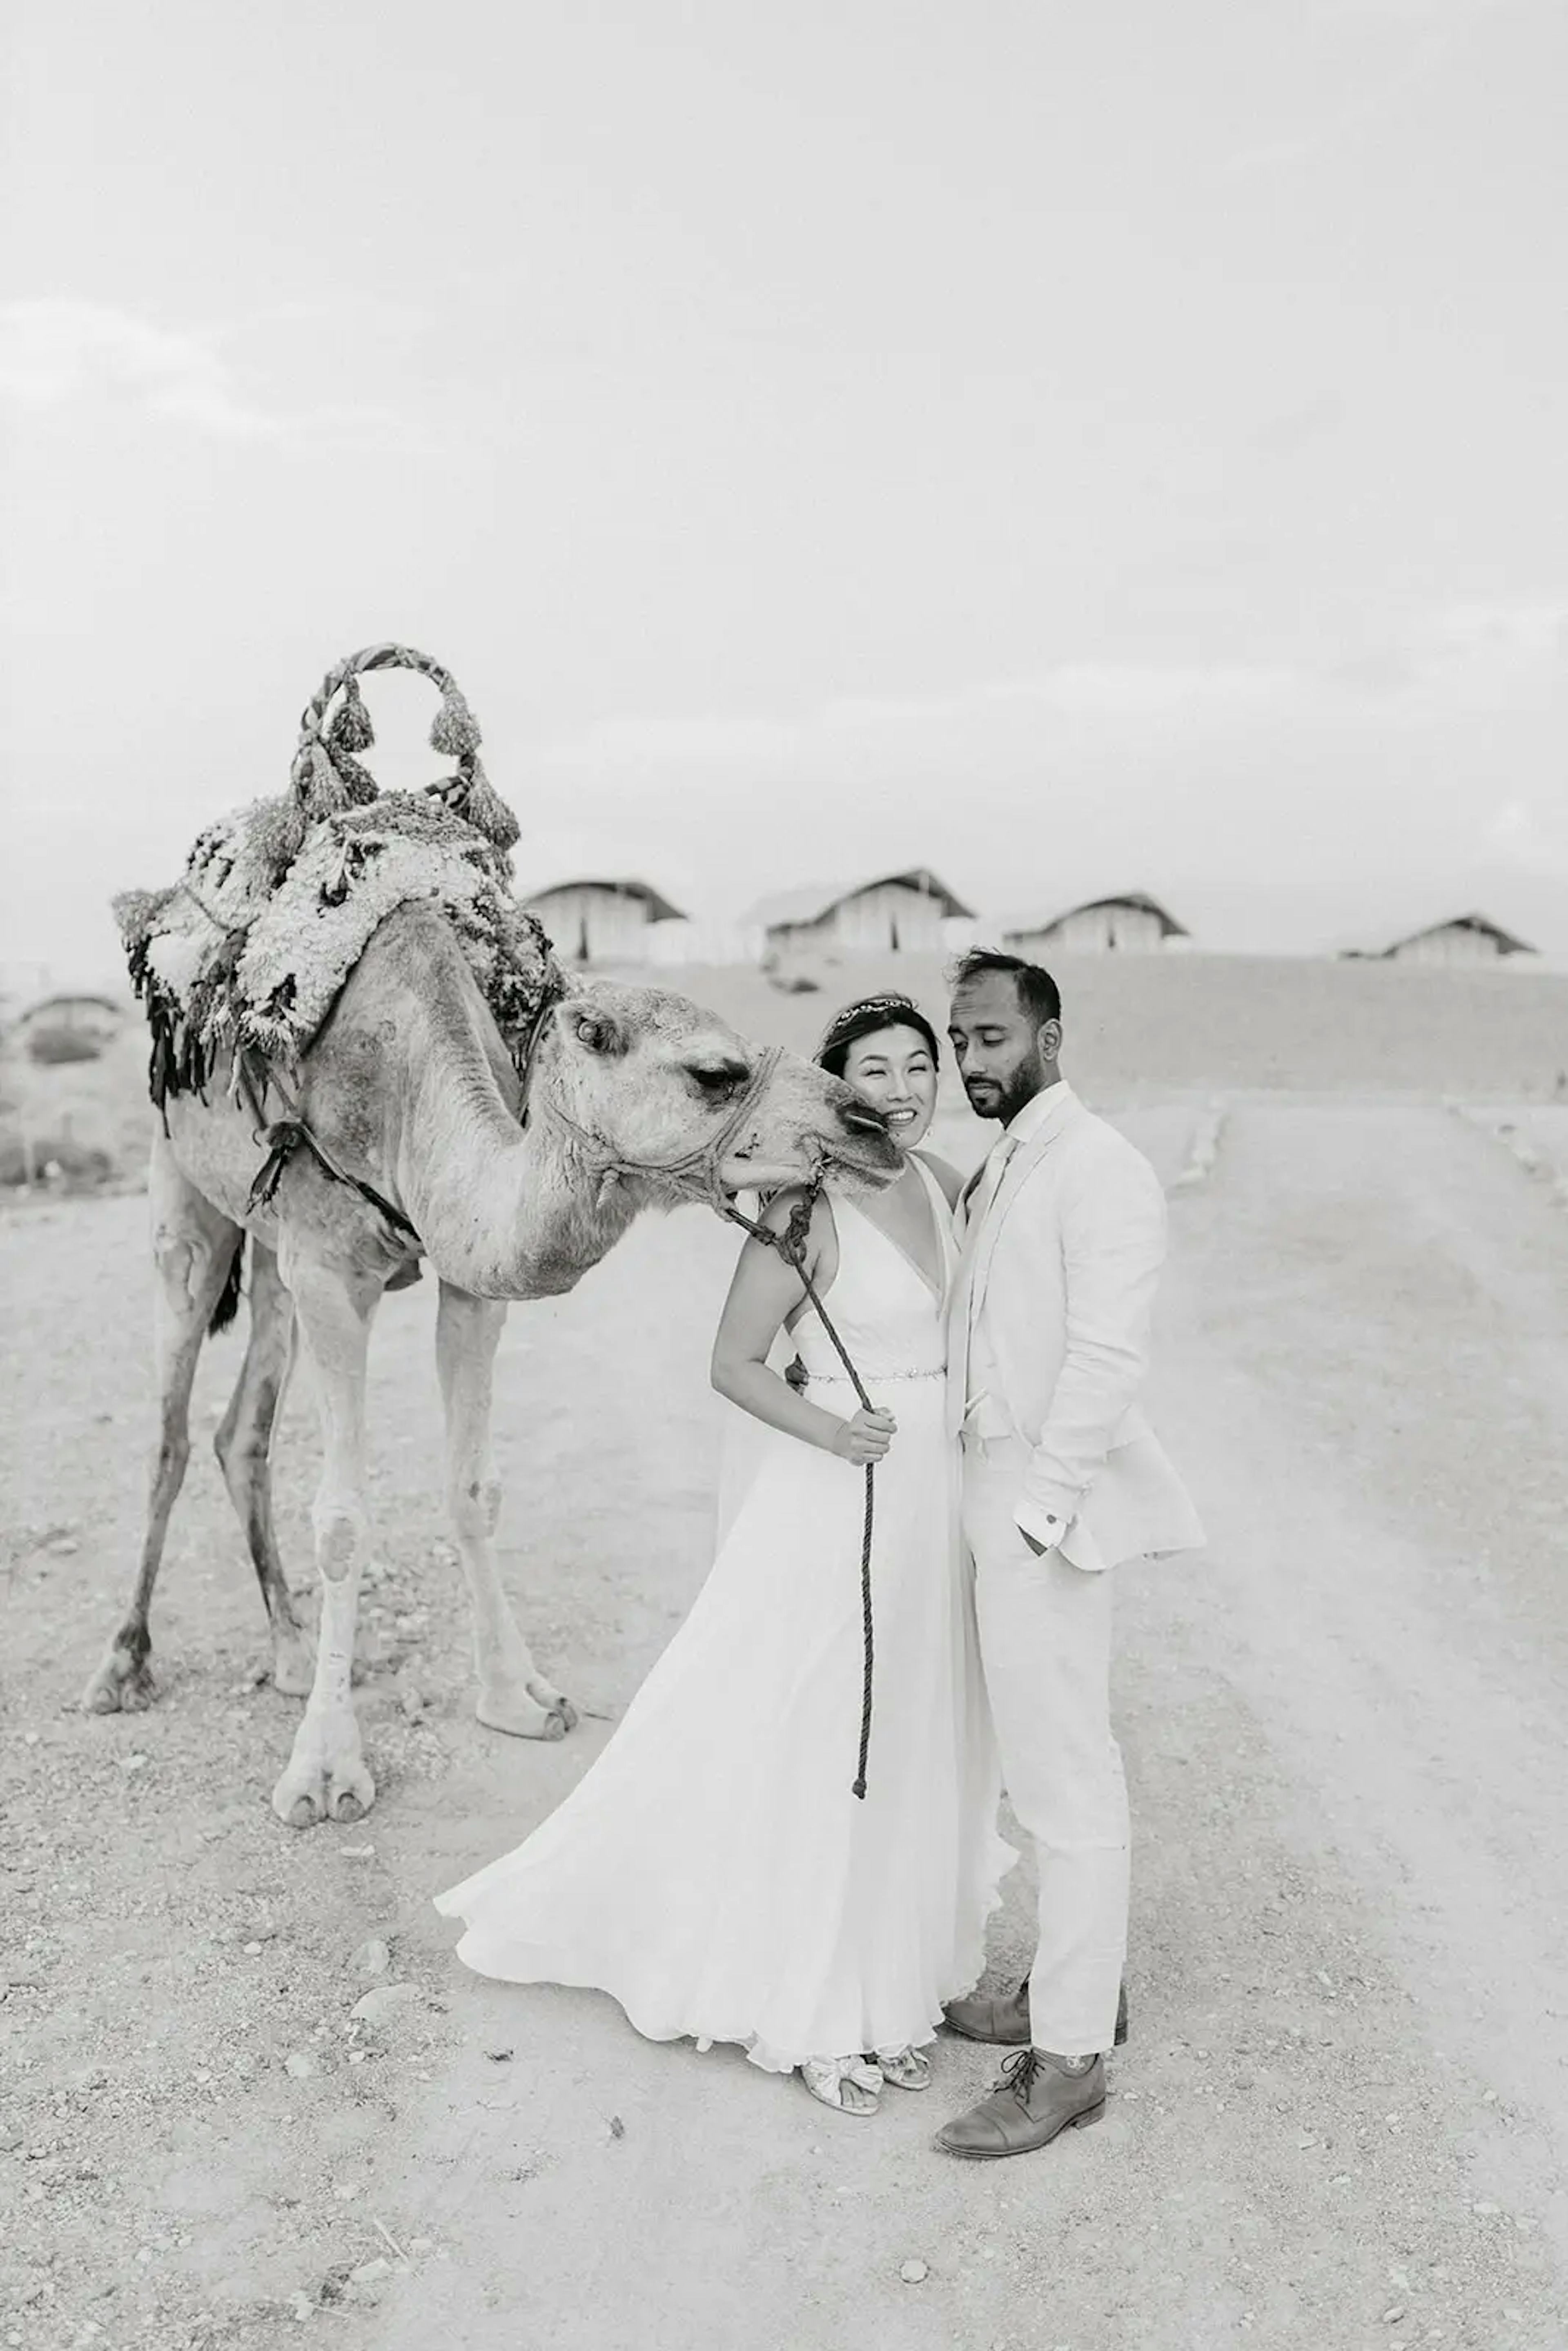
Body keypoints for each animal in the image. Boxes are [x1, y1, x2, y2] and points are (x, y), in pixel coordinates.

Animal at [95, 653, 907, 1824]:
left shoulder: (468, 1282)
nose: (871, 1126)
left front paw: (518, 1693)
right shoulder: (334, 1271)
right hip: (184, 1195)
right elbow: (343, 1516)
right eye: (715, 1072)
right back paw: (126, 1661)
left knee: (239, 1431)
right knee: (166, 1427)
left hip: (271, 1246)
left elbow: (474, 1486)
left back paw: (291, 1649)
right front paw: (325, 1769)